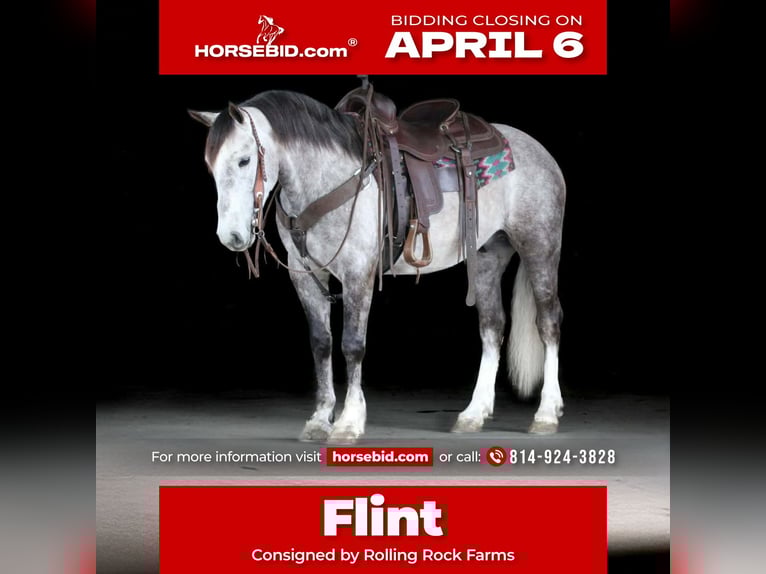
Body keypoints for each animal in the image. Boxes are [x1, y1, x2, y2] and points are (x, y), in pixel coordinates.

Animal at [189, 89, 566, 444]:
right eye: (210, 166)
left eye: (244, 160)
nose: (231, 236)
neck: (327, 178)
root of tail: (539, 152)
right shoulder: (307, 275)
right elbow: (321, 343)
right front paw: (320, 419)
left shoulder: (358, 273)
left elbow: (352, 345)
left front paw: (349, 422)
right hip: (488, 255)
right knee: (491, 327)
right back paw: (474, 414)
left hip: (539, 246)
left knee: (548, 322)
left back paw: (546, 413)